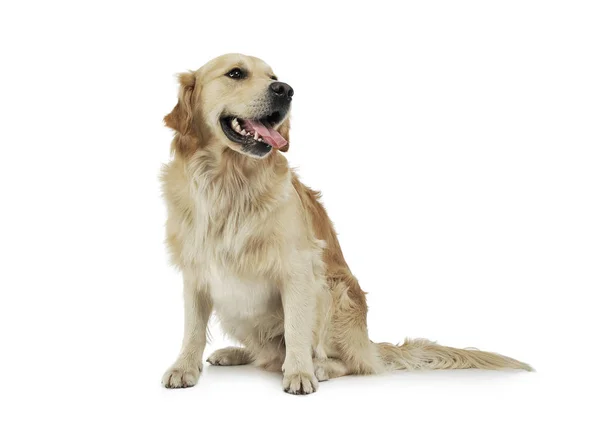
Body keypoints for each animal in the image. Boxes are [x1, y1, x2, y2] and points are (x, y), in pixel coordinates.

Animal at [161, 53, 536, 394]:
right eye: (236, 73)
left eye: (273, 77)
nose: (286, 90)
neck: (230, 181)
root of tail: (368, 343)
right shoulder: (196, 270)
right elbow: (192, 328)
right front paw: (184, 367)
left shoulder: (299, 267)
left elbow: (297, 329)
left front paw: (300, 373)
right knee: (266, 354)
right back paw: (235, 353)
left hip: (334, 289)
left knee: (349, 363)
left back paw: (319, 367)